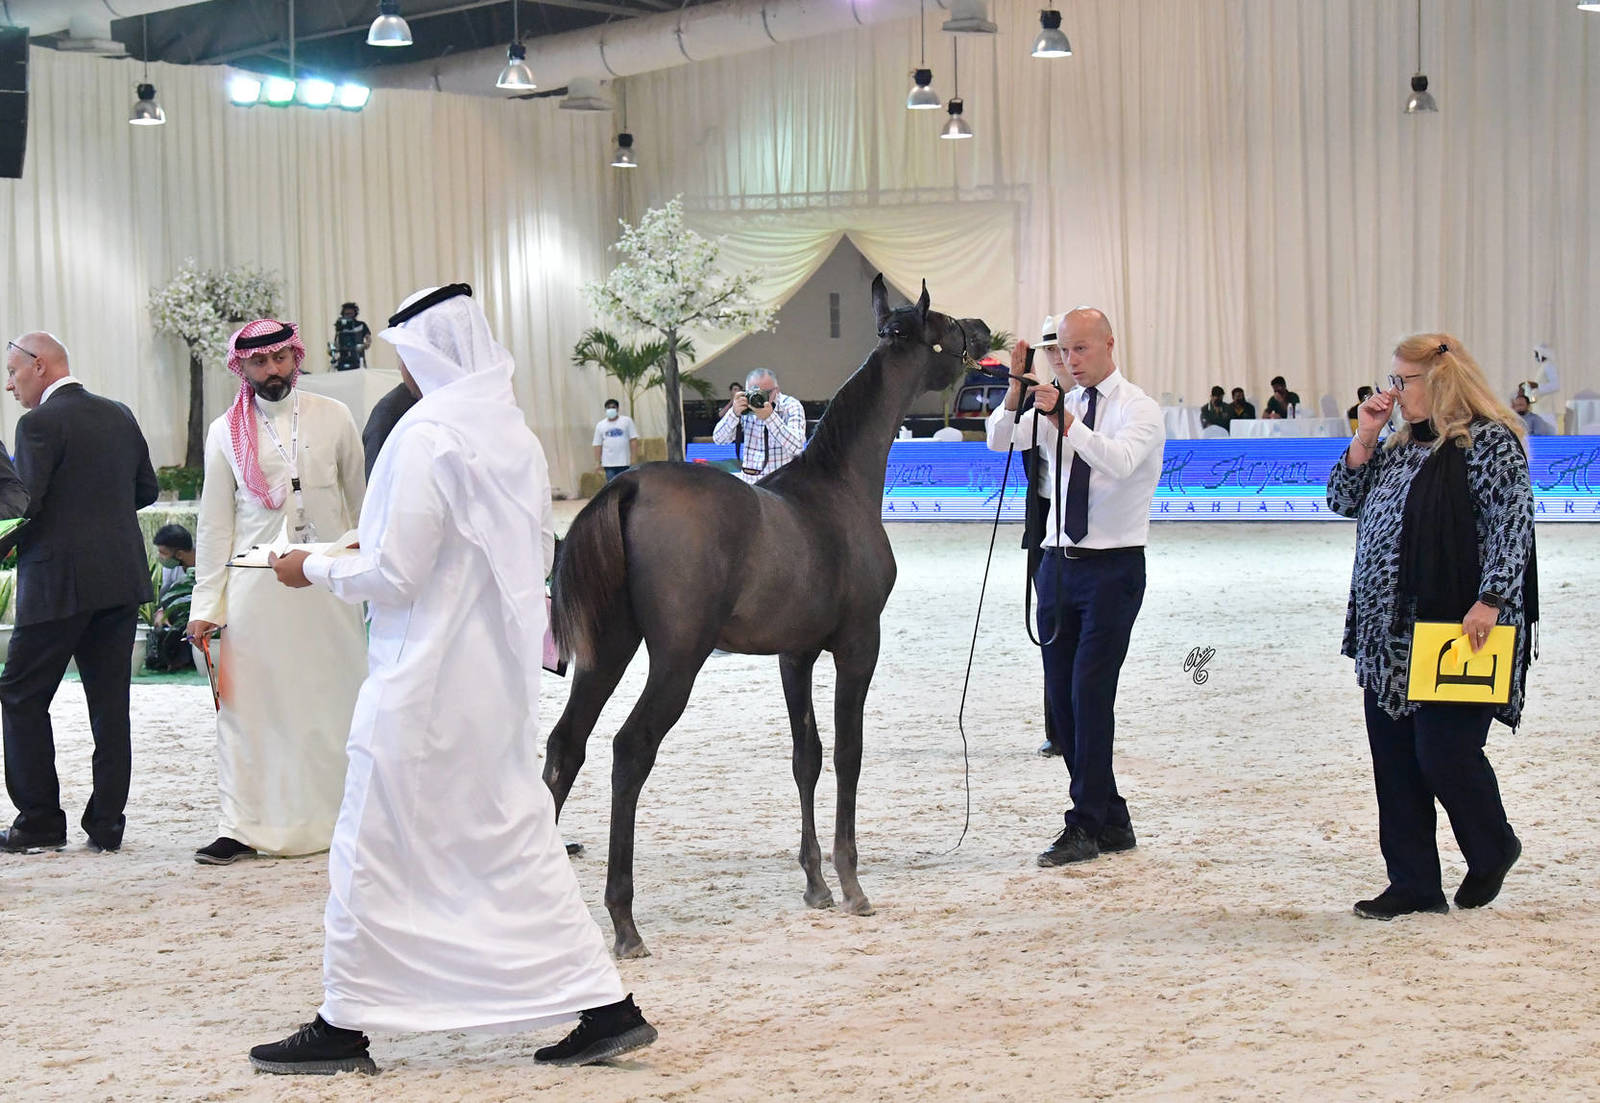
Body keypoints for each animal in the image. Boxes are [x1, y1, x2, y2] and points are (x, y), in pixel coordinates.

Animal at [548, 276, 990, 958]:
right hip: (677, 661)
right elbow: (847, 753)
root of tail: (628, 486)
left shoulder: (795, 654)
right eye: (941, 321)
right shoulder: (859, 646)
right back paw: (624, 923)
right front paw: (851, 883)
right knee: (629, 750)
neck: (837, 488)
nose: (986, 331)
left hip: (608, 651)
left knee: (566, 745)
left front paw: (815, 884)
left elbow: (806, 754)